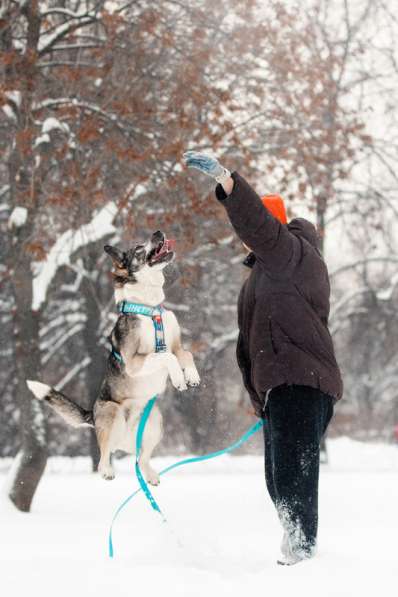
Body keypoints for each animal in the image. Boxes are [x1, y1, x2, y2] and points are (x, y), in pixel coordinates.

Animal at [27, 230, 201, 482]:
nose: (158, 232)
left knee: (141, 458)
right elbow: (165, 356)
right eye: (138, 248)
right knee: (104, 454)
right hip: (113, 413)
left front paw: (192, 376)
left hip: (155, 421)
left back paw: (150, 476)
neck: (150, 309)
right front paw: (178, 379)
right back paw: (107, 471)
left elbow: (185, 354)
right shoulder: (134, 360)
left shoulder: (176, 345)